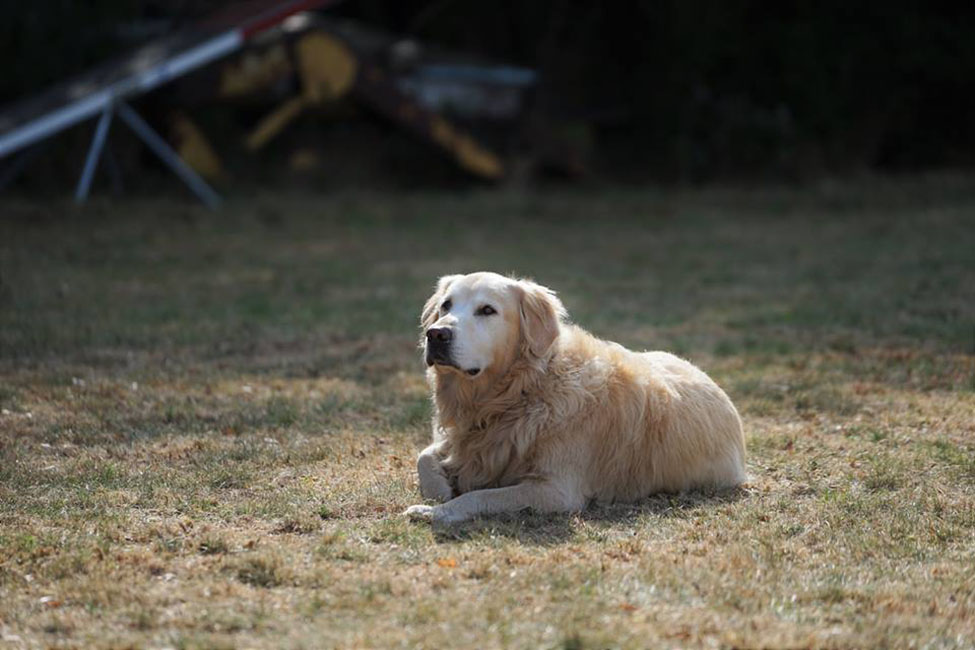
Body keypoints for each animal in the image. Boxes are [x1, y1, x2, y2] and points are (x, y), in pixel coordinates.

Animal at [404, 272, 748, 520]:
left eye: (487, 310)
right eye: (446, 305)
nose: (436, 334)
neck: (524, 390)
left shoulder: (556, 491)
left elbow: (478, 496)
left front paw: (436, 510)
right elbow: (424, 456)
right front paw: (441, 491)